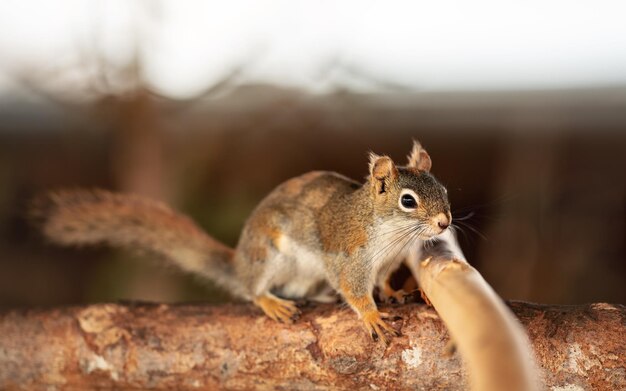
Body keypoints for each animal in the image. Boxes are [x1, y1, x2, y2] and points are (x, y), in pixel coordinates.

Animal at [31, 142, 450, 344]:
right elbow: (355, 289)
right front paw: (372, 316)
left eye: (444, 191)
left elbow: (383, 282)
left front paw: (393, 294)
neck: (390, 235)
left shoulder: (385, 263)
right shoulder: (348, 256)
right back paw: (270, 301)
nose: (444, 222)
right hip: (268, 255)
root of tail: (240, 263)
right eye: (407, 201)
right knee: (253, 289)